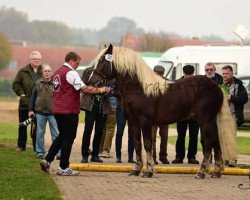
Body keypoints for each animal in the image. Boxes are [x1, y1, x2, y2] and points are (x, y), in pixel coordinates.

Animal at [88, 44, 236, 179]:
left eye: (103, 61)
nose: (92, 81)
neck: (139, 89)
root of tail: (216, 87)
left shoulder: (145, 122)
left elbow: (147, 144)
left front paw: (148, 171)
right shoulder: (133, 121)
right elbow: (137, 143)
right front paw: (136, 169)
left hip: (205, 121)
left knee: (209, 143)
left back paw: (201, 172)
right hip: (211, 122)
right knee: (216, 141)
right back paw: (216, 172)